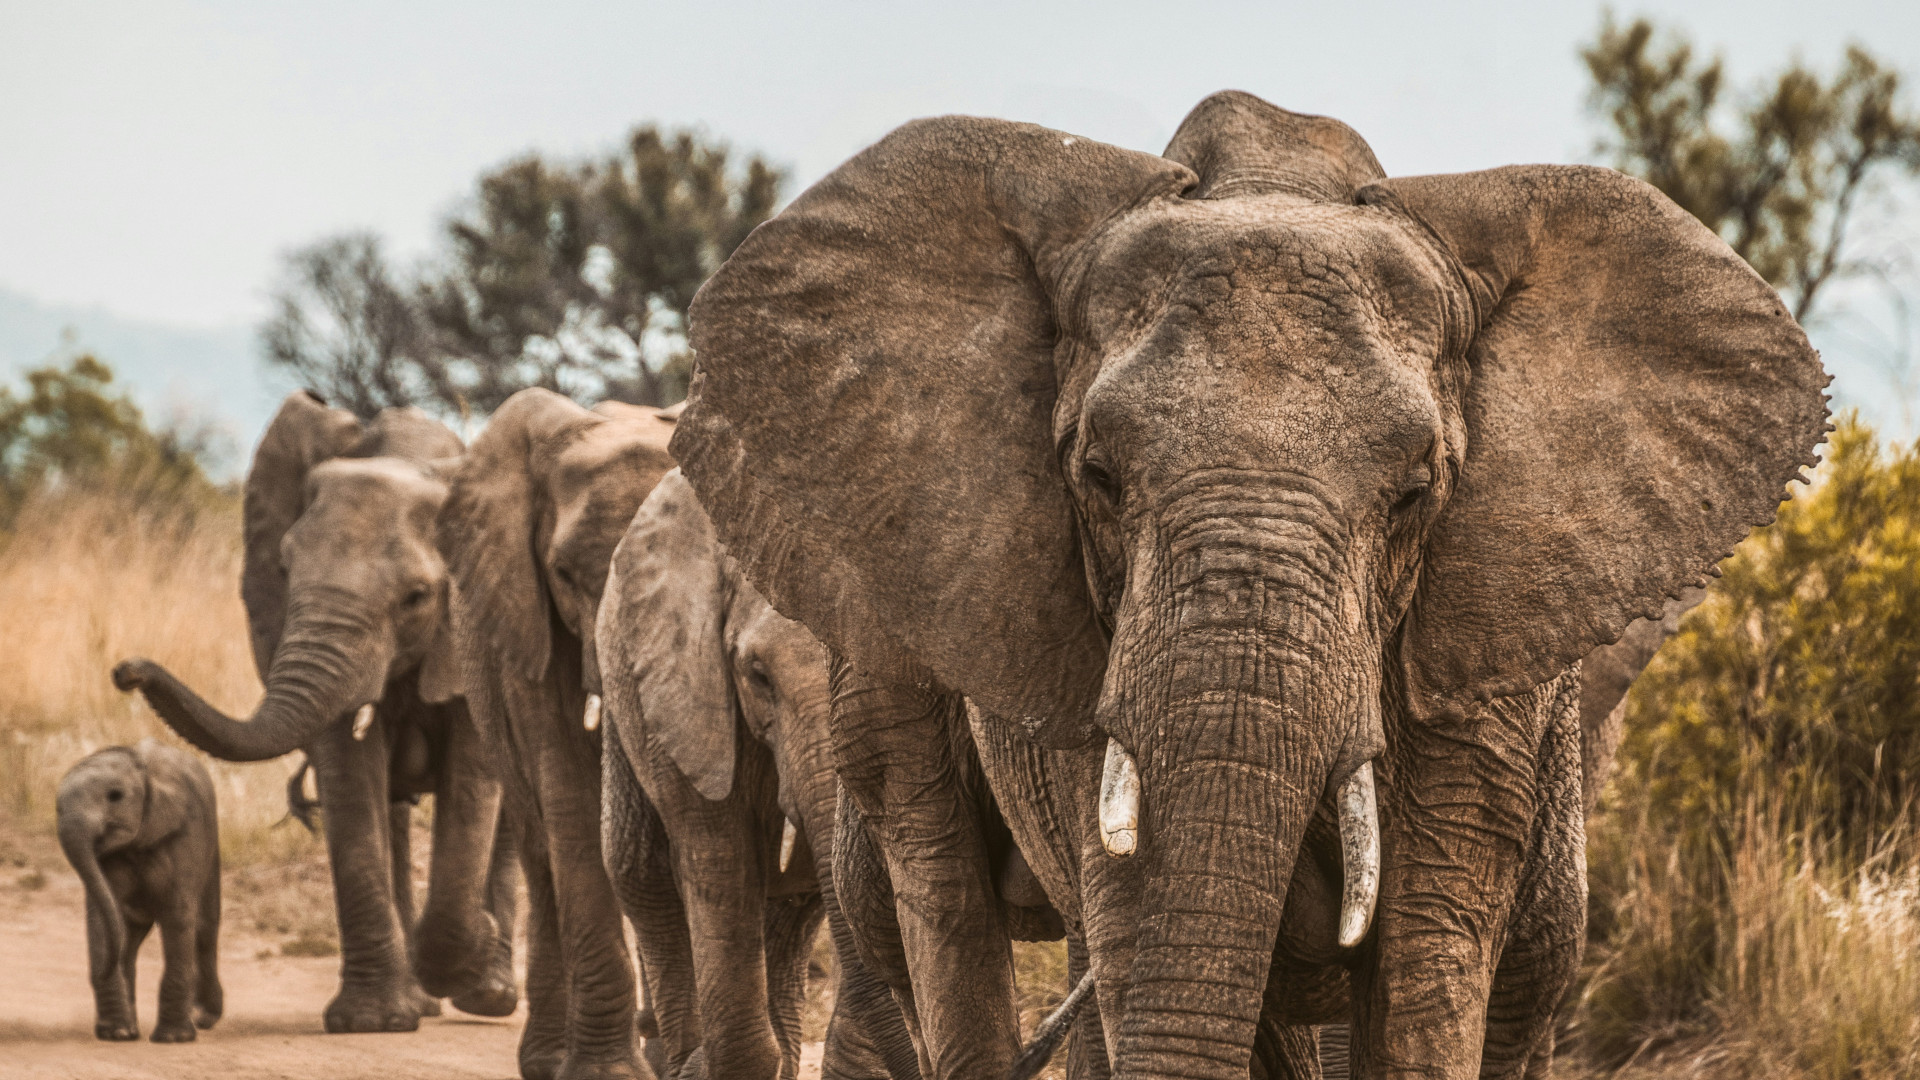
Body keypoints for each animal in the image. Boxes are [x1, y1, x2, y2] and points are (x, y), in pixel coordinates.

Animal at [56, 734, 222, 1037]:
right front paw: (117, 1034)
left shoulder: (186, 833)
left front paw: (173, 1038)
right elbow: (103, 915)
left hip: (212, 846)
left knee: (205, 929)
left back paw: (203, 1019)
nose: (100, 971)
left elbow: (178, 914)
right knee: (130, 938)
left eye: (115, 796)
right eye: (57, 808)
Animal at [112, 390, 514, 1030]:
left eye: (417, 597)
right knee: (393, 811)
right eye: (283, 571)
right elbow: (348, 778)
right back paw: (422, 1000)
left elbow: (474, 781)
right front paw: (371, 1022)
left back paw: (490, 995)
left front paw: (470, 948)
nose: (125, 671)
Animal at [433, 386, 683, 1076]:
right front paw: (608, 1073)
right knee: (541, 847)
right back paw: (551, 1059)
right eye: (566, 575)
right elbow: (569, 793)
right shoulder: (526, 617)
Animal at [599, 468, 929, 1076]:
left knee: (792, 914)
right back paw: (682, 1057)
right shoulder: (688, 690)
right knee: (641, 873)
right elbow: (720, 863)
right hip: (623, 691)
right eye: (758, 676)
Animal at [664, 92, 1827, 1076]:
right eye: (1096, 478)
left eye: (1417, 495)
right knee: (936, 896)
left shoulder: (1484, 632)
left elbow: (1427, 957)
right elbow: (1144, 915)